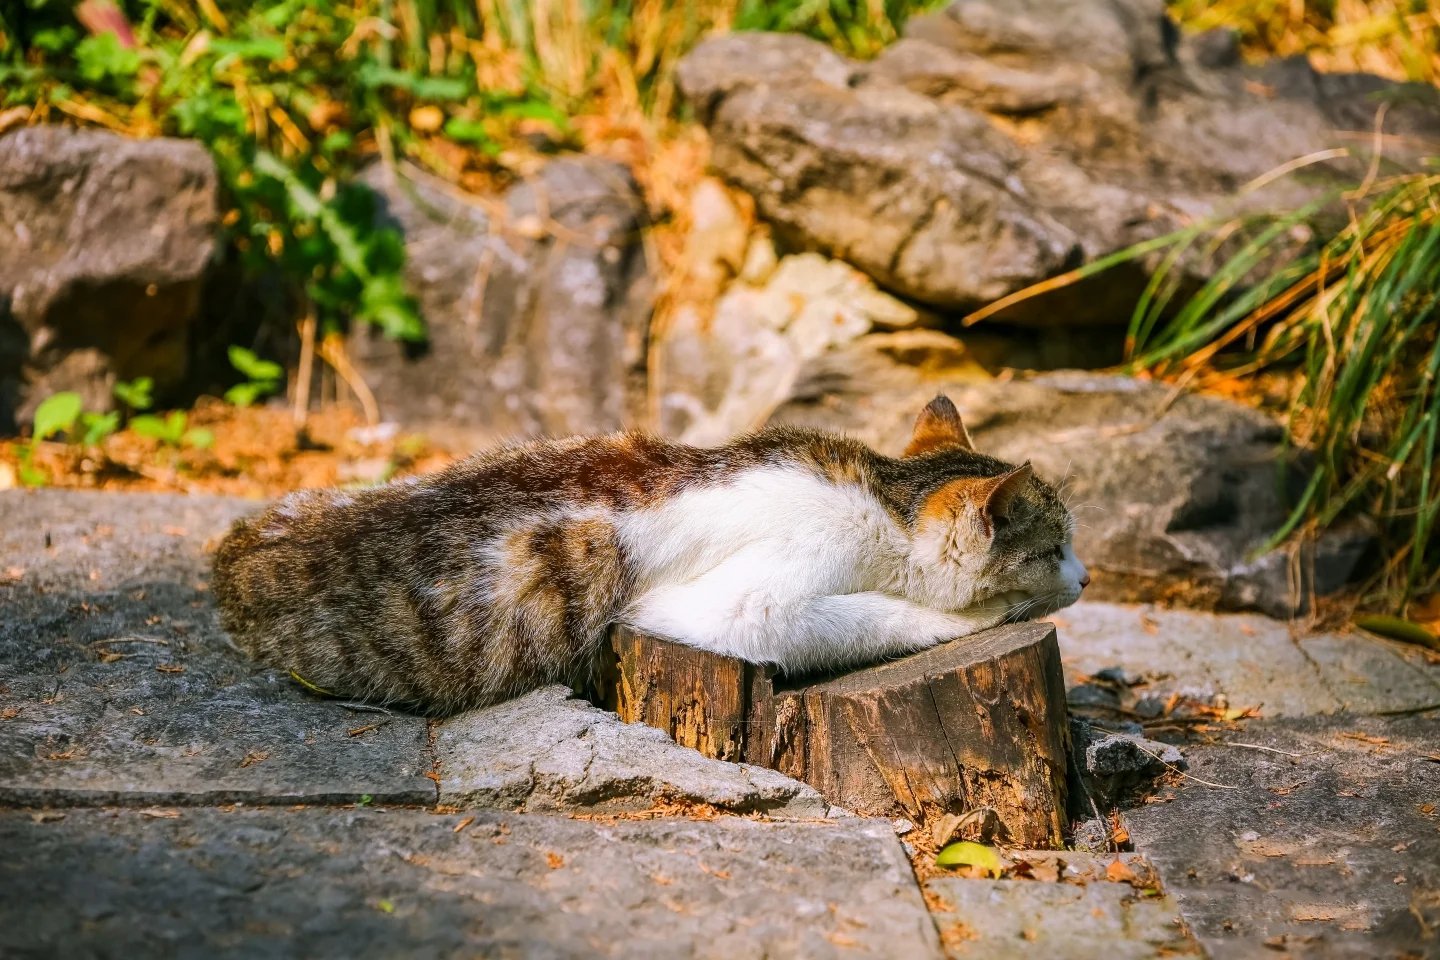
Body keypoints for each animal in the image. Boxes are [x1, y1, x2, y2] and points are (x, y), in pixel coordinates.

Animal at [213, 394, 1082, 716]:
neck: (883, 495)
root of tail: (226, 560)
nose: (1084, 577)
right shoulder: (735, 612)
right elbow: (877, 616)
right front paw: (976, 617)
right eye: (1058, 547)